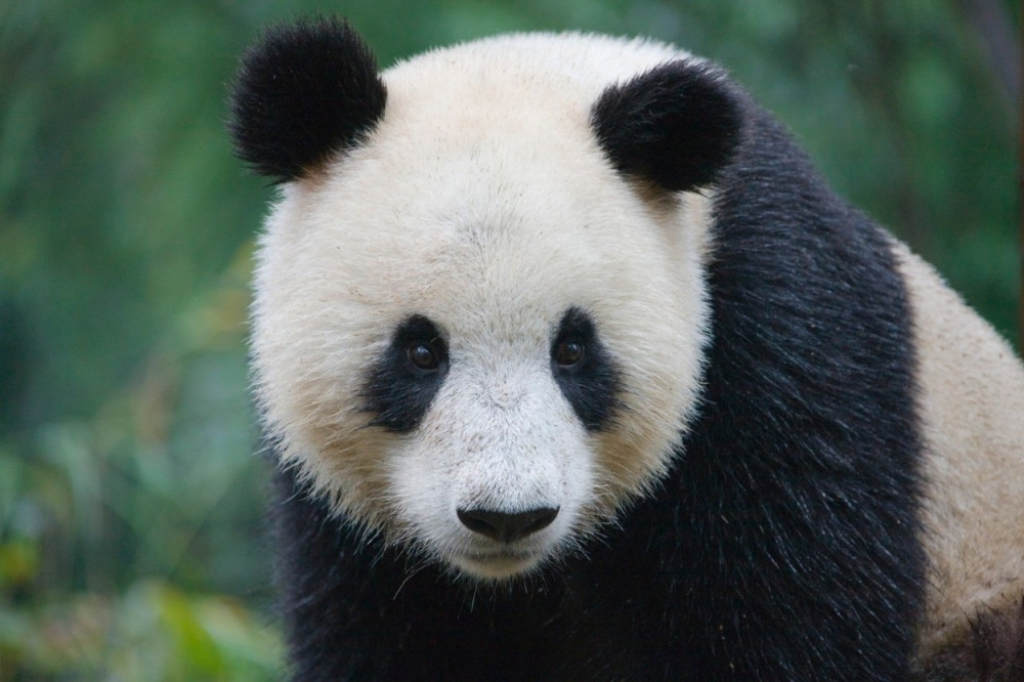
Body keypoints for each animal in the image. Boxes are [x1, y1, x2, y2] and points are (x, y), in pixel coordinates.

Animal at [227, 18, 1024, 681]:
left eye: (574, 350)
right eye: (420, 352)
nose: (507, 517)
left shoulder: (783, 347)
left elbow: (795, 615)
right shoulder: (345, 526)